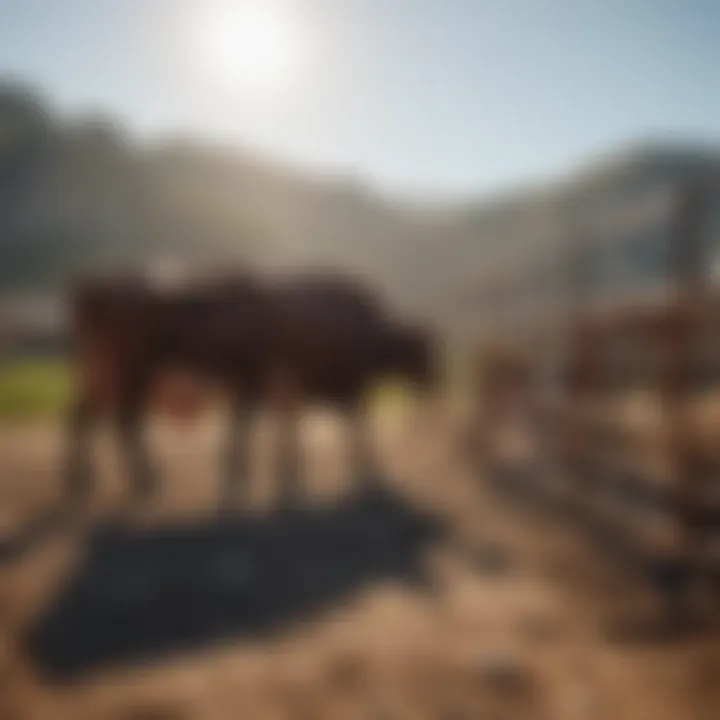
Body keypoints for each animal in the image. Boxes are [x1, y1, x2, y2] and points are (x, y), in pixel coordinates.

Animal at [64, 270, 438, 512]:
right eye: (425, 353)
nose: (436, 383)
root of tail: (101, 289)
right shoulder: (316, 386)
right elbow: (353, 426)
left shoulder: (271, 387)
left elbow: (259, 428)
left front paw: (256, 472)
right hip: (130, 374)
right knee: (122, 419)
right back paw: (143, 478)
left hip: (104, 374)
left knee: (86, 414)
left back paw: (85, 477)